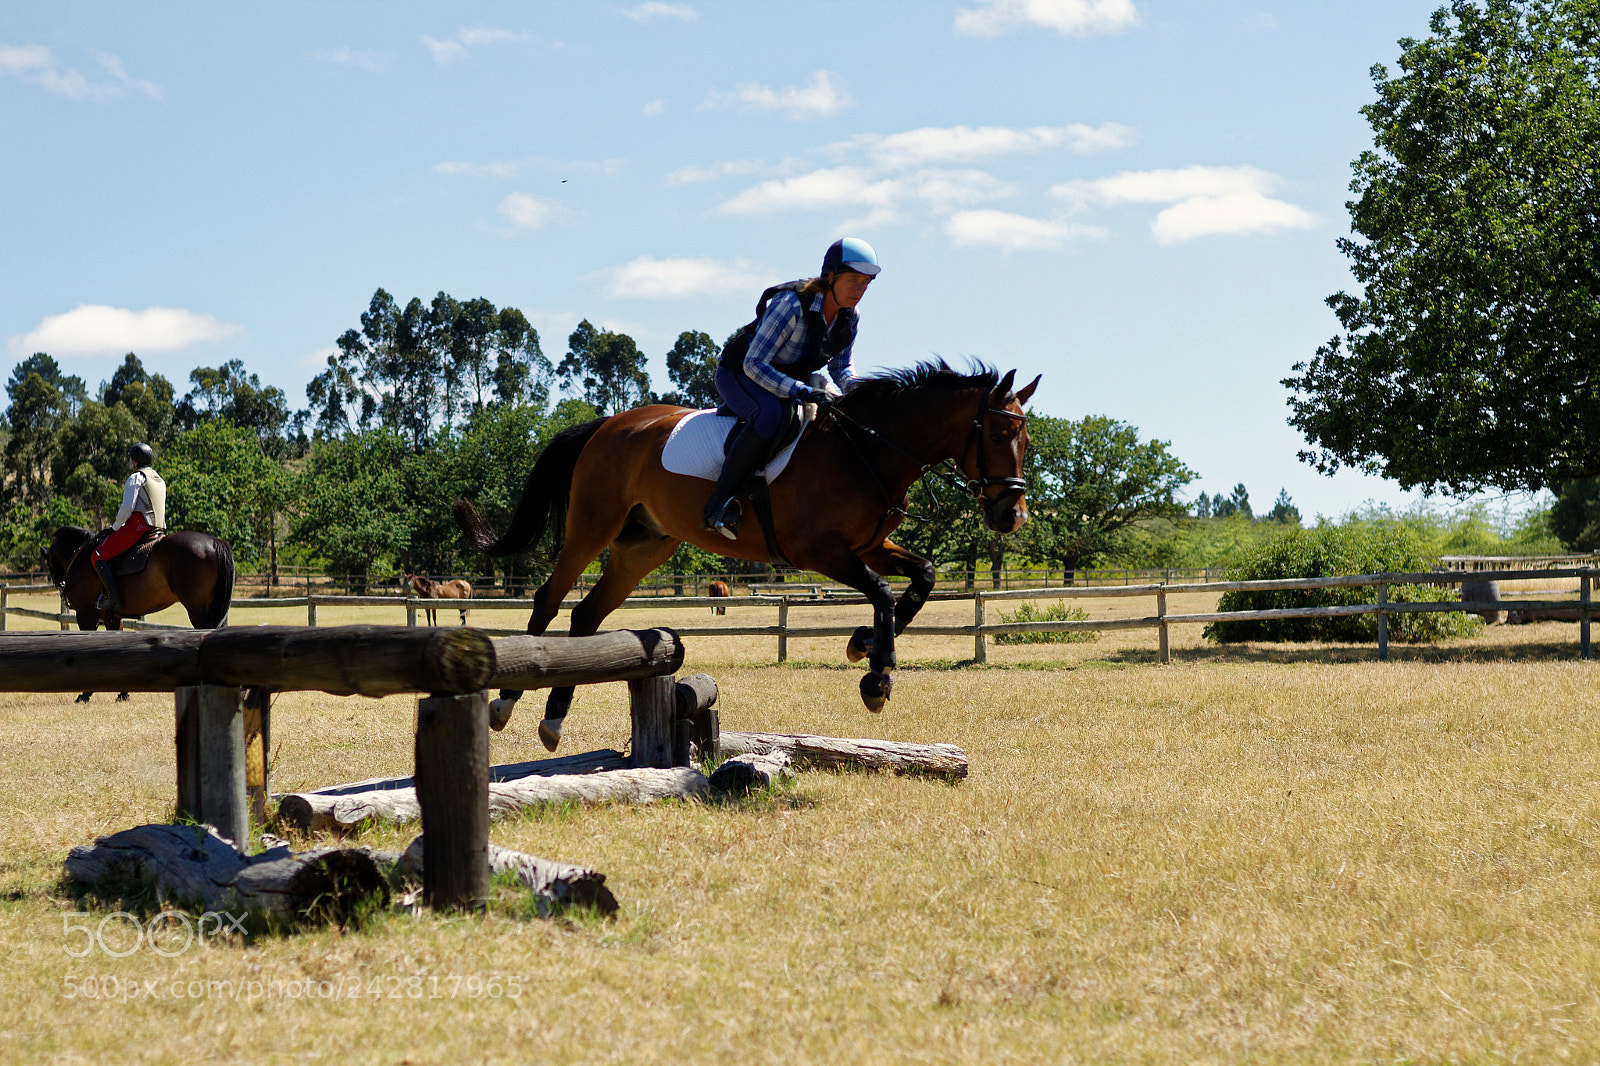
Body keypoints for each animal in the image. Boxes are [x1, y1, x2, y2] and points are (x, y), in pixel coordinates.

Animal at [46, 525, 236, 703]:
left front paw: (85, 694)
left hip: (197, 609)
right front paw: (123, 693)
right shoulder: (112, 618)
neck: (80, 558)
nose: (62, 588)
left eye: (49, 563)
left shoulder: (85, 614)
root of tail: (215, 542)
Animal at [454, 360, 1039, 751]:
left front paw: (864, 644)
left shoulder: (869, 545)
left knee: (587, 614)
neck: (867, 451)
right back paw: (505, 700)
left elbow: (922, 577)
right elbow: (882, 591)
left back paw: (553, 718)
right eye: (997, 433)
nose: (1012, 516)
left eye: (1027, 440)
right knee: (549, 600)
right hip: (592, 526)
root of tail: (608, 424)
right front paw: (877, 676)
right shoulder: (819, 550)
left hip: (644, 546)